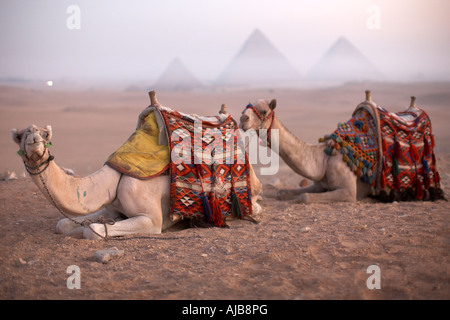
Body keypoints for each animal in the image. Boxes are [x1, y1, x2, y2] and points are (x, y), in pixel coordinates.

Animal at [10, 91, 262, 239]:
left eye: (45, 135)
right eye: (21, 135)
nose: (34, 141)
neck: (115, 176)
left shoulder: (150, 219)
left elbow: (94, 230)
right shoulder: (111, 207)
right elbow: (63, 223)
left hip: (249, 190)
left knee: (256, 206)